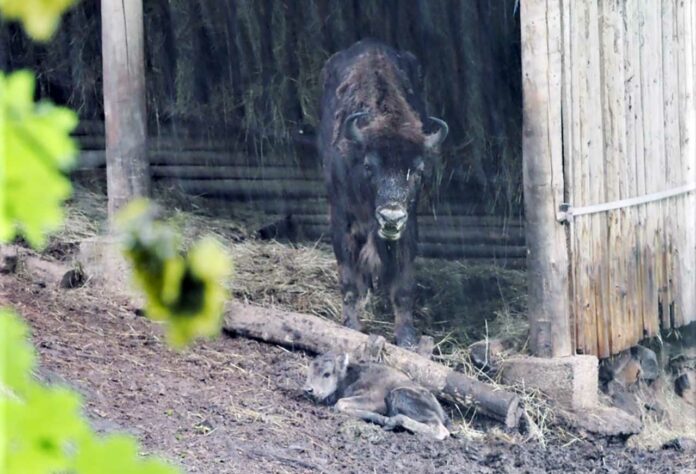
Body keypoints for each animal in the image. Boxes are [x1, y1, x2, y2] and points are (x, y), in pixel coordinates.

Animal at [302, 352, 448, 440]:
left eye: (327, 374)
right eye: (310, 370)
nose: (308, 389)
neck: (350, 376)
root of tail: (441, 412)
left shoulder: (373, 400)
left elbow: (340, 404)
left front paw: (382, 419)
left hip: (398, 395)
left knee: (440, 430)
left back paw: (392, 421)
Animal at [318, 39, 448, 346]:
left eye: (418, 170)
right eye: (369, 165)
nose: (391, 217)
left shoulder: (409, 224)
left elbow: (403, 285)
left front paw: (407, 337)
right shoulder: (341, 218)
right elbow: (348, 279)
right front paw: (352, 325)